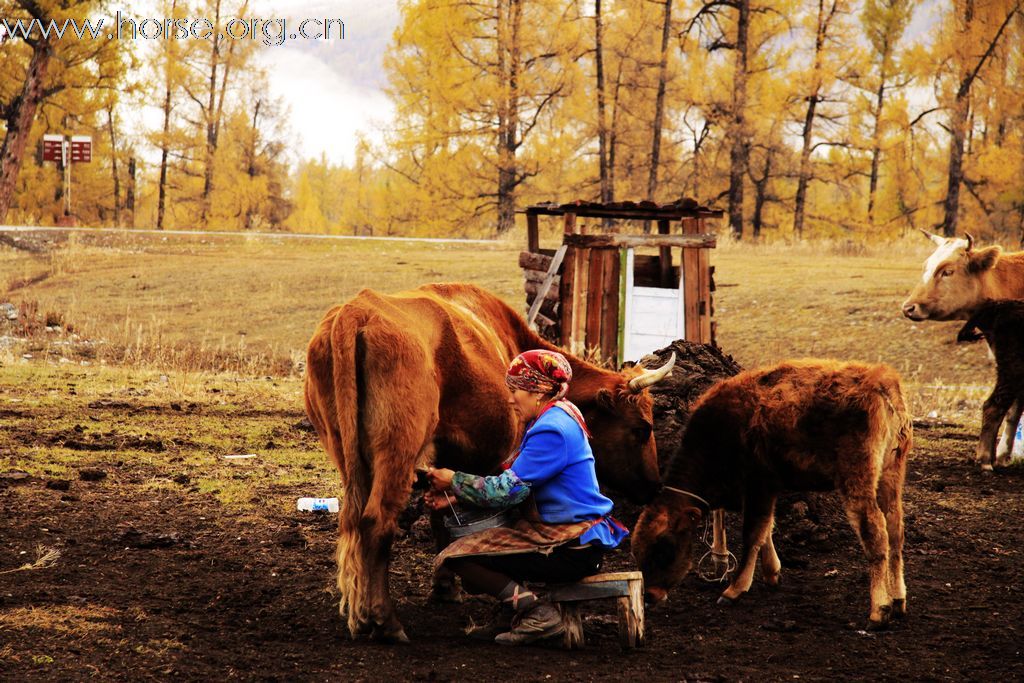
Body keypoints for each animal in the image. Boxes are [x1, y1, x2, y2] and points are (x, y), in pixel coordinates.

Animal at [303, 282, 671, 643]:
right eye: (642, 428)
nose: (654, 486)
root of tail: (357, 311)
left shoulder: (445, 457)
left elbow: (440, 517)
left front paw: (444, 587)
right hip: (397, 452)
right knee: (376, 520)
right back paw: (385, 621)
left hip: (349, 457)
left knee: (354, 521)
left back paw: (360, 618)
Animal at [630, 360, 913, 634]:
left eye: (663, 547)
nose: (650, 595)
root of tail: (881, 382)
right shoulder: (768, 489)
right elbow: (766, 529)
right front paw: (772, 573)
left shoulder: (759, 486)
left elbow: (753, 533)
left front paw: (734, 590)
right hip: (891, 476)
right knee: (895, 531)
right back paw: (898, 600)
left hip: (857, 482)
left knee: (876, 534)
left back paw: (879, 611)